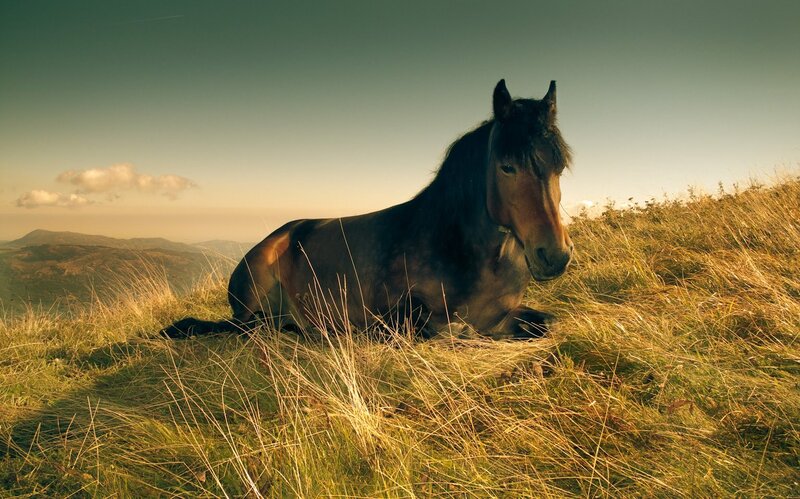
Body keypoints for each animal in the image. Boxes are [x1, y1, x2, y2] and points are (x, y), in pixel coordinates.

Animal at [163, 79, 573, 340]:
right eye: (507, 167)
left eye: (560, 166)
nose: (554, 255)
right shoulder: (402, 315)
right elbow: (443, 330)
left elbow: (547, 322)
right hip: (251, 298)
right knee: (248, 326)